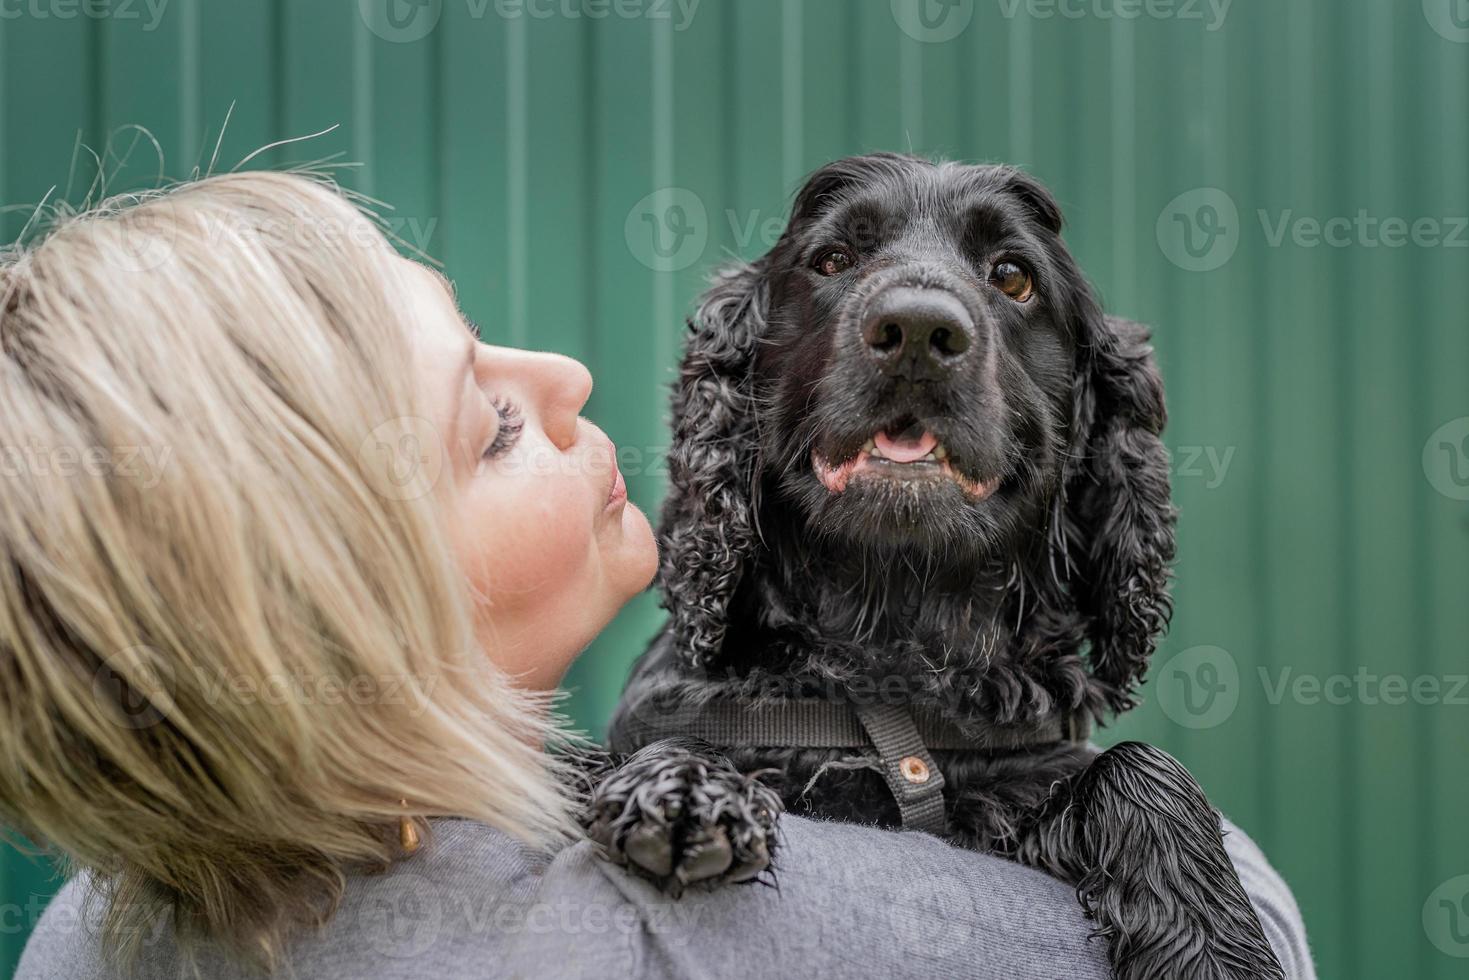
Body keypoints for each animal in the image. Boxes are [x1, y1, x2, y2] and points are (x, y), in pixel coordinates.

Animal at [584, 157, 1286, 975]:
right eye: (832, 259)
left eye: (1012, 275)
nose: (916, 330)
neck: (894, 645)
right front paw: (687, 790)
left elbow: (1143, 768)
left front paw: (1210, 950)